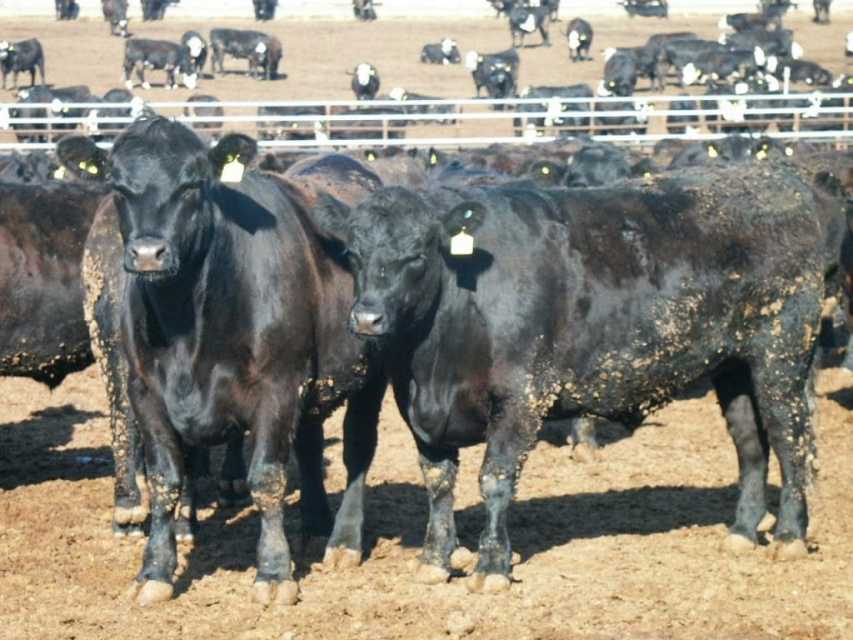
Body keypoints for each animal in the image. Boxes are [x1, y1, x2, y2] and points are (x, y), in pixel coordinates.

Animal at [55, 120, 390, 606]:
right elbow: (165, 480)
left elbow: (267, 478)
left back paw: (343, 541)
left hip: (371, 371)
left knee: (358, 449)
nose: (148, 253)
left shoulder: (278, 386)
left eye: (193, 184)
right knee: (310, 445)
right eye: (117, 185)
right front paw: (155, 570)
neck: (187, 327)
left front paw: (274, 573)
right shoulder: (145, 393)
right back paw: (314, 524)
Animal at [310, 161, 825, 592]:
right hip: (733, 366)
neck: (434, 359)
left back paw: (789, 535)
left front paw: (491, 567)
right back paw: (742, 531)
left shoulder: (521, 397)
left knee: (791, 440)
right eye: (353, 253)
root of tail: (780, 178)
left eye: (417, 255)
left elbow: (495, 479)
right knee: (751, 444)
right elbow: (438, 483)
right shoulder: (418, 408)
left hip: (782, 354)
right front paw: (435, 561)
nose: (367, 318)